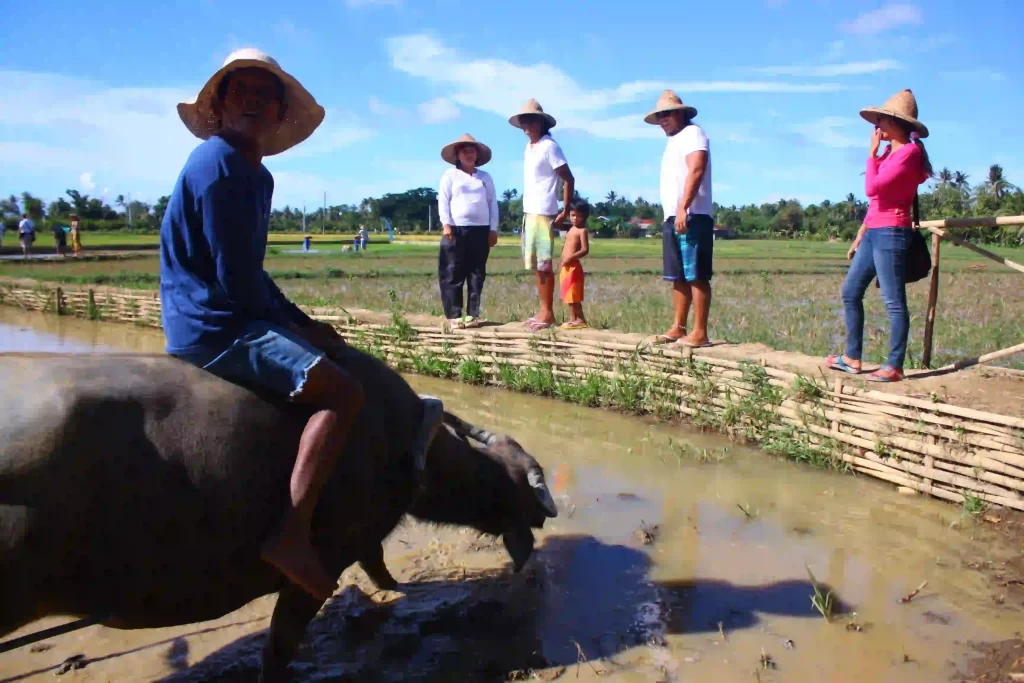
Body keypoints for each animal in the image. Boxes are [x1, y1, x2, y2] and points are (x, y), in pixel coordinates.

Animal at [0, 350, 561, 679]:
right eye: (523, 478)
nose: (541, 517)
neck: (405, 444)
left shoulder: (361, 541)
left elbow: (379, 565)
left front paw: (396, 587)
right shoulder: (322, 563)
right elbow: (281, 644)